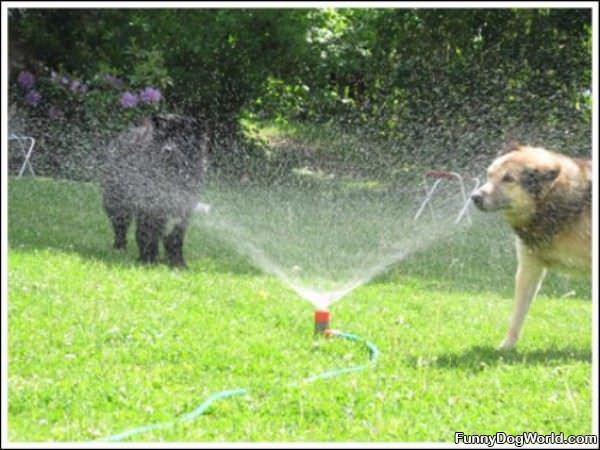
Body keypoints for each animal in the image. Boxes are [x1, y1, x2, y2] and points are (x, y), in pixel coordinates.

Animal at [101, 113, 209, 268]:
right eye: (163, 137)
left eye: (181, 139)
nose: (167, 150)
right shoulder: (149, 206)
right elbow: (148, 233)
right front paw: (148, 259)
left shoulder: (184, 208)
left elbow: (176, 236)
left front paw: (178, 263)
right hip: (116, 201)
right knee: (120, 226)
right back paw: (119, 247)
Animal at [472, 143, 592, 348]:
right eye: (489, 175)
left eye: (508, 179)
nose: (475, 197)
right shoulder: (529, 268)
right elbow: (517, 313)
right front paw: (506, 346)